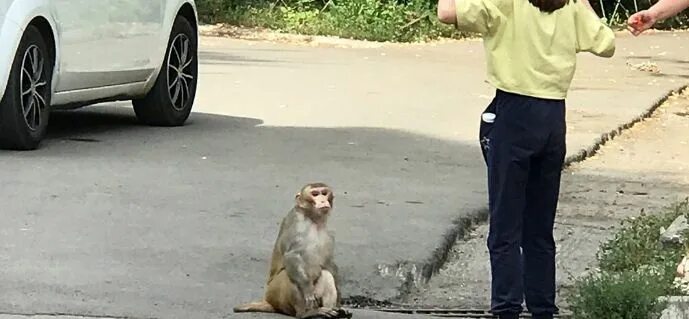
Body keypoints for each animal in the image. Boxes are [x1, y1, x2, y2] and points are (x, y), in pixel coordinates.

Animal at [234, 182, 352, 319]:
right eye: (315, 194)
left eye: (324, 193)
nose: (323, 200)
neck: (313, 220)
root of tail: (269, 301)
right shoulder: (297, 224)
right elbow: (291, 256)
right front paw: (306, 287)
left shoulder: (329, 234)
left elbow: (328, 263)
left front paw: (339, 300)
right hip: (276, 293)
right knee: (287, 274)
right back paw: (306, 313)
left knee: (327, 274)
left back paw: (333, 311)